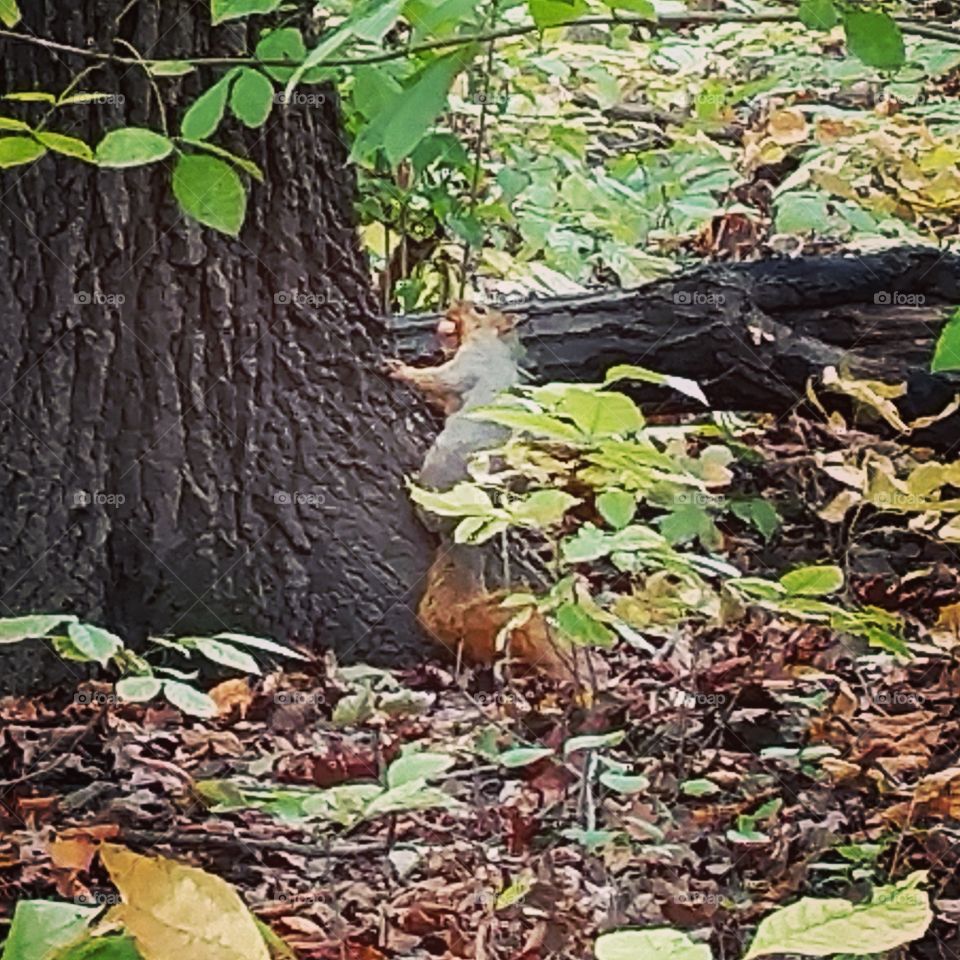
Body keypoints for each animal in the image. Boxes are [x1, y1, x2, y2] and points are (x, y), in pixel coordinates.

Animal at [388, 302, 574, 680]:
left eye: (479, 308)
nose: (451, 306)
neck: (496, 345)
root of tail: (463, 525)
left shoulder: (468, 366)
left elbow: (437, 380)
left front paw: (401, 370)